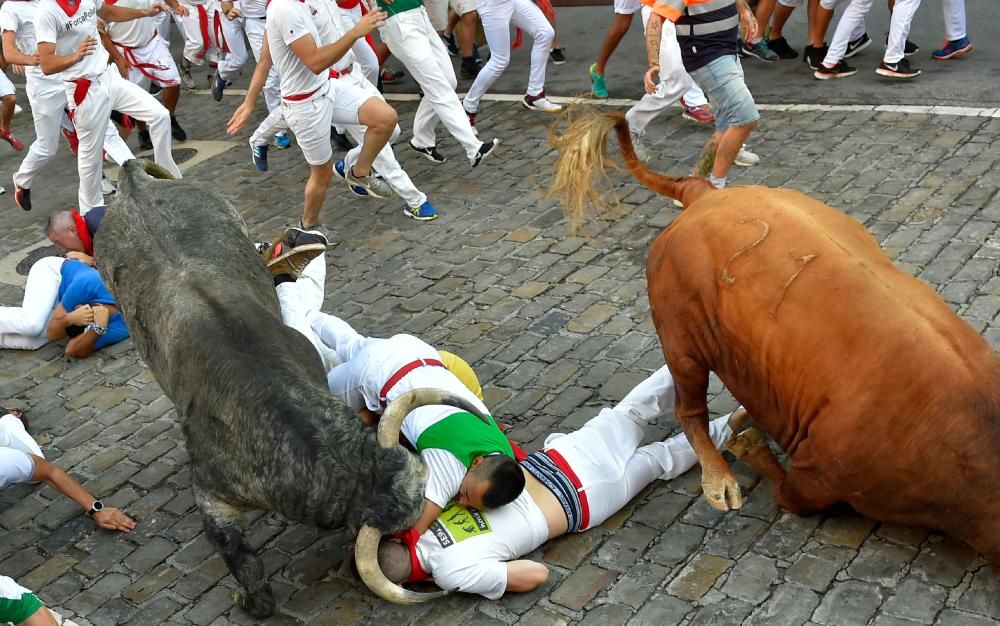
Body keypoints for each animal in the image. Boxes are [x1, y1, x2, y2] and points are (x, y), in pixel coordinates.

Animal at [552, 109, 996, 564]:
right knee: (688, 408)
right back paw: (720, 482)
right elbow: (785, 491)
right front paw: (748, 446)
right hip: (679, 333)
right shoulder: (820, 479)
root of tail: (704, 195)